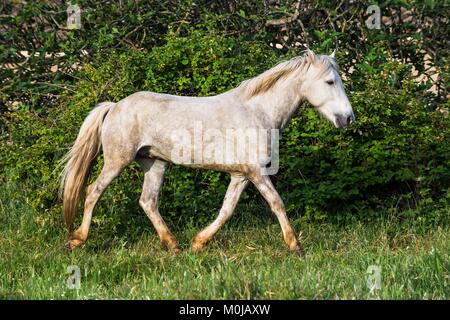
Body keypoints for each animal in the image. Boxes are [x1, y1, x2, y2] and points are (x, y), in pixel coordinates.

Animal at [59, 50, 356, 254]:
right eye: (330, 82)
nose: (348, 118)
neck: (257, 112)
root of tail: (114, 106)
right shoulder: (256, 172)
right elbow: (276, 203)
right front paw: (295, 245)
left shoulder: (241, 175)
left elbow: (227, 209)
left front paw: (199, 242)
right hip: (117, 160)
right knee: (92, 192)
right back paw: (77, 239)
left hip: (155, 163)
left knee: (147, 201)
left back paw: (173, 244)